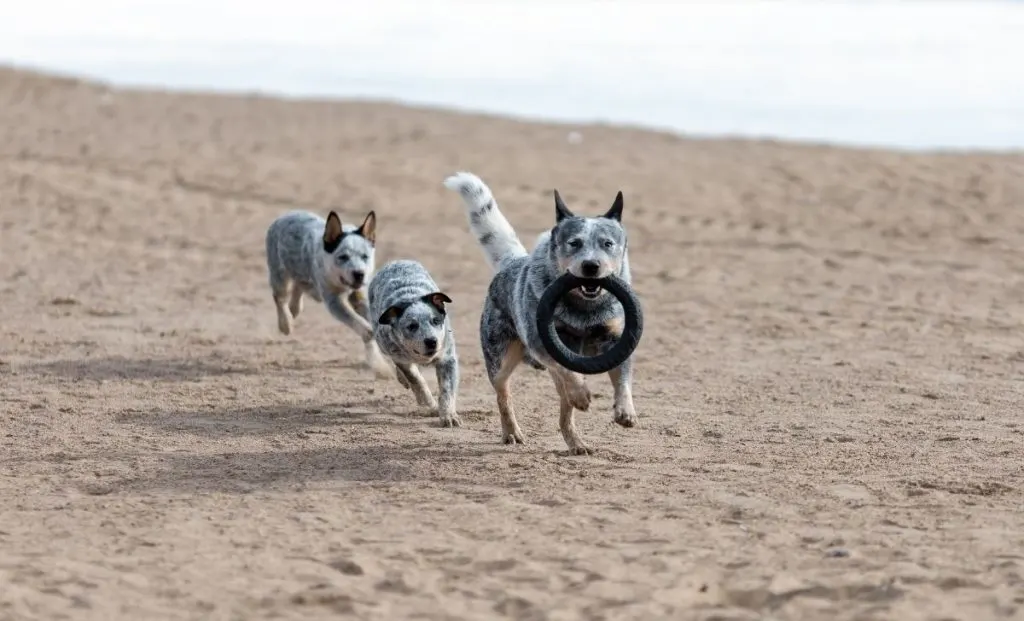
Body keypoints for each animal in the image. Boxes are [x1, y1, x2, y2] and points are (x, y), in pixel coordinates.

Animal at [262, 210, 393, 379]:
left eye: (365, 256)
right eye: (343, 257)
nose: (359, 274)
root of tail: (285, 215)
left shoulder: (360, 296)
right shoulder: (334, 301)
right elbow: (363, 327)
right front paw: (381, 364)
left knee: (299, 287)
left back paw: (294, 309)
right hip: (279, 273)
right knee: (280, 297)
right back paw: (286, 323)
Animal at [370, 260, 462, 430]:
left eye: (436, 320)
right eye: (412, 326)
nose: (432, 341)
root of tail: (396, 261)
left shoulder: (447, 358)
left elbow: (447, 390)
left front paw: (449, 416)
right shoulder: (401, 358)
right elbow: (416, 380)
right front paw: (431, 405)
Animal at [442, 173, 634, 454]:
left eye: (607, 243)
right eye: (574, 243)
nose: (591, 265)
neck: (584, 310)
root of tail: (513, 262)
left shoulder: (616, 339)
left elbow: (623, 380)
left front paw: (625, 412)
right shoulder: (542, 343)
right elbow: (567, 370)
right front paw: (582, 395)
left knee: (565, 414)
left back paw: (577, 444)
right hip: (499, 359)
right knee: (504, 394)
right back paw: (512, 432)